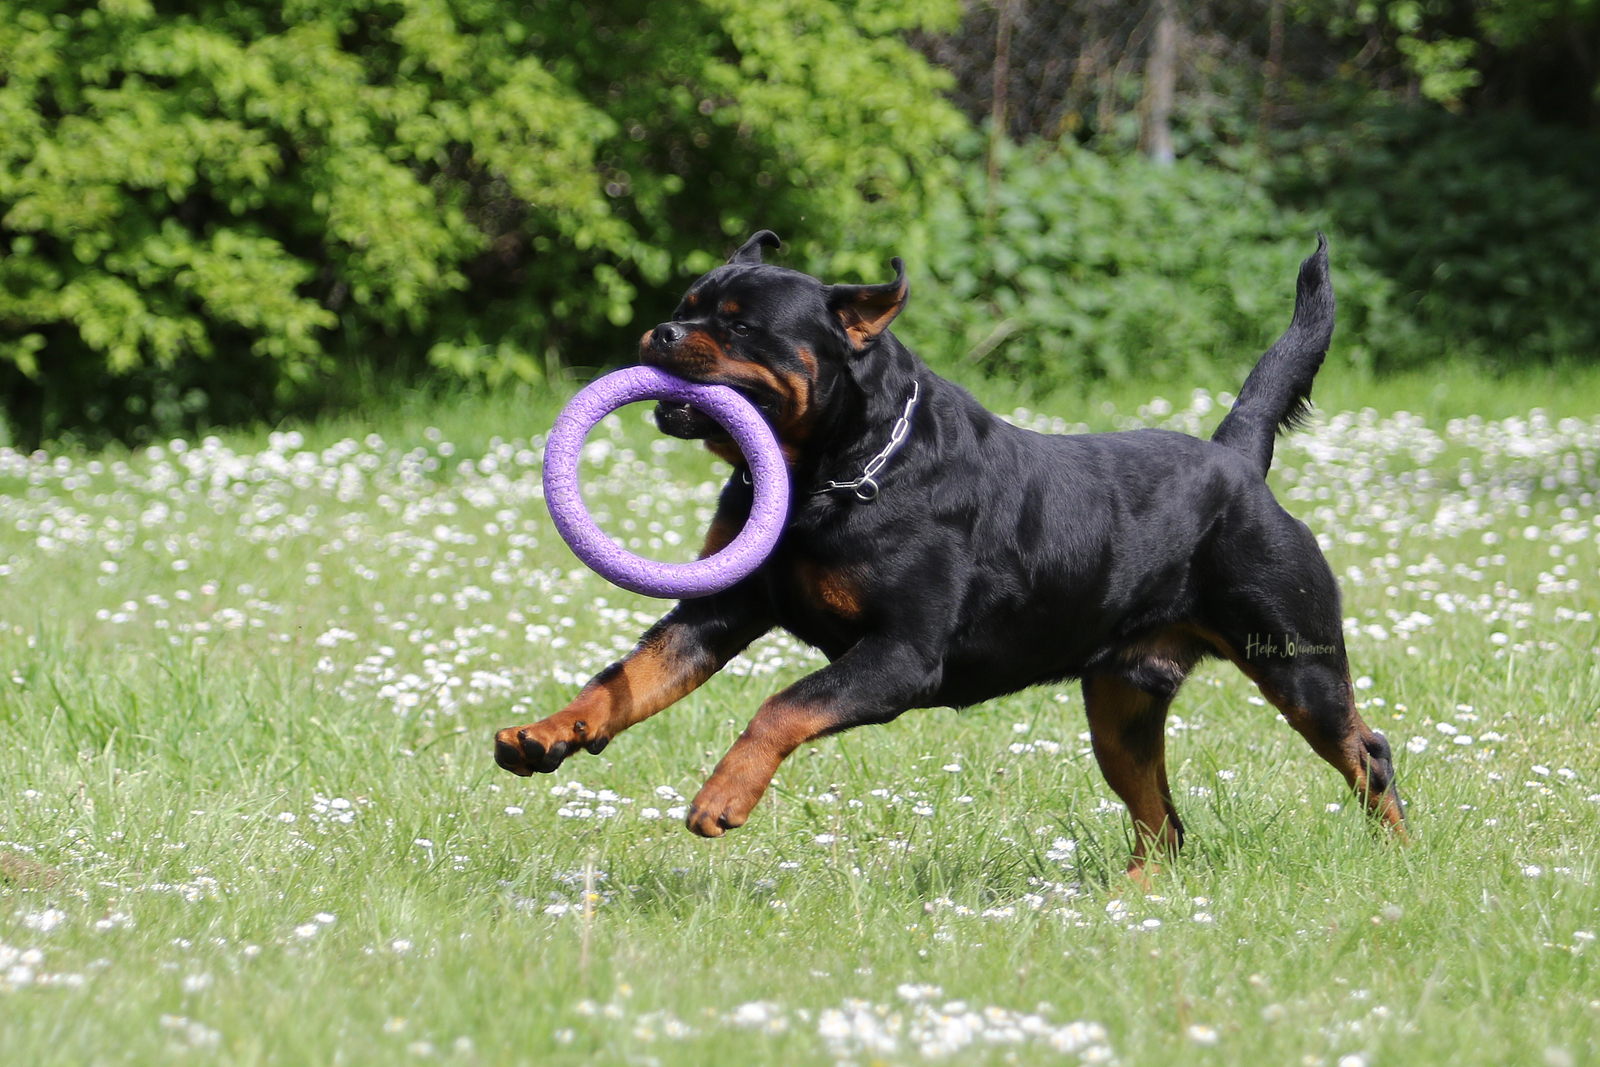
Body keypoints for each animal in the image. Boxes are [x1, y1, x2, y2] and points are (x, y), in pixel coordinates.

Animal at [495, 230, 1405, 881]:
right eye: (686, 303)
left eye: (738, 322)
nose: (662, 330)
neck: (830, 471)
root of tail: (1236, 461)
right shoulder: (716, 612)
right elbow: (628, 677)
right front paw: (546, 732)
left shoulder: (902, 656)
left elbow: (782, 706)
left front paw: (724, 793)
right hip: (1122, 705)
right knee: (1165, 821)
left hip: (1295, 659)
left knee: (1367, 754)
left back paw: (1395, 857)